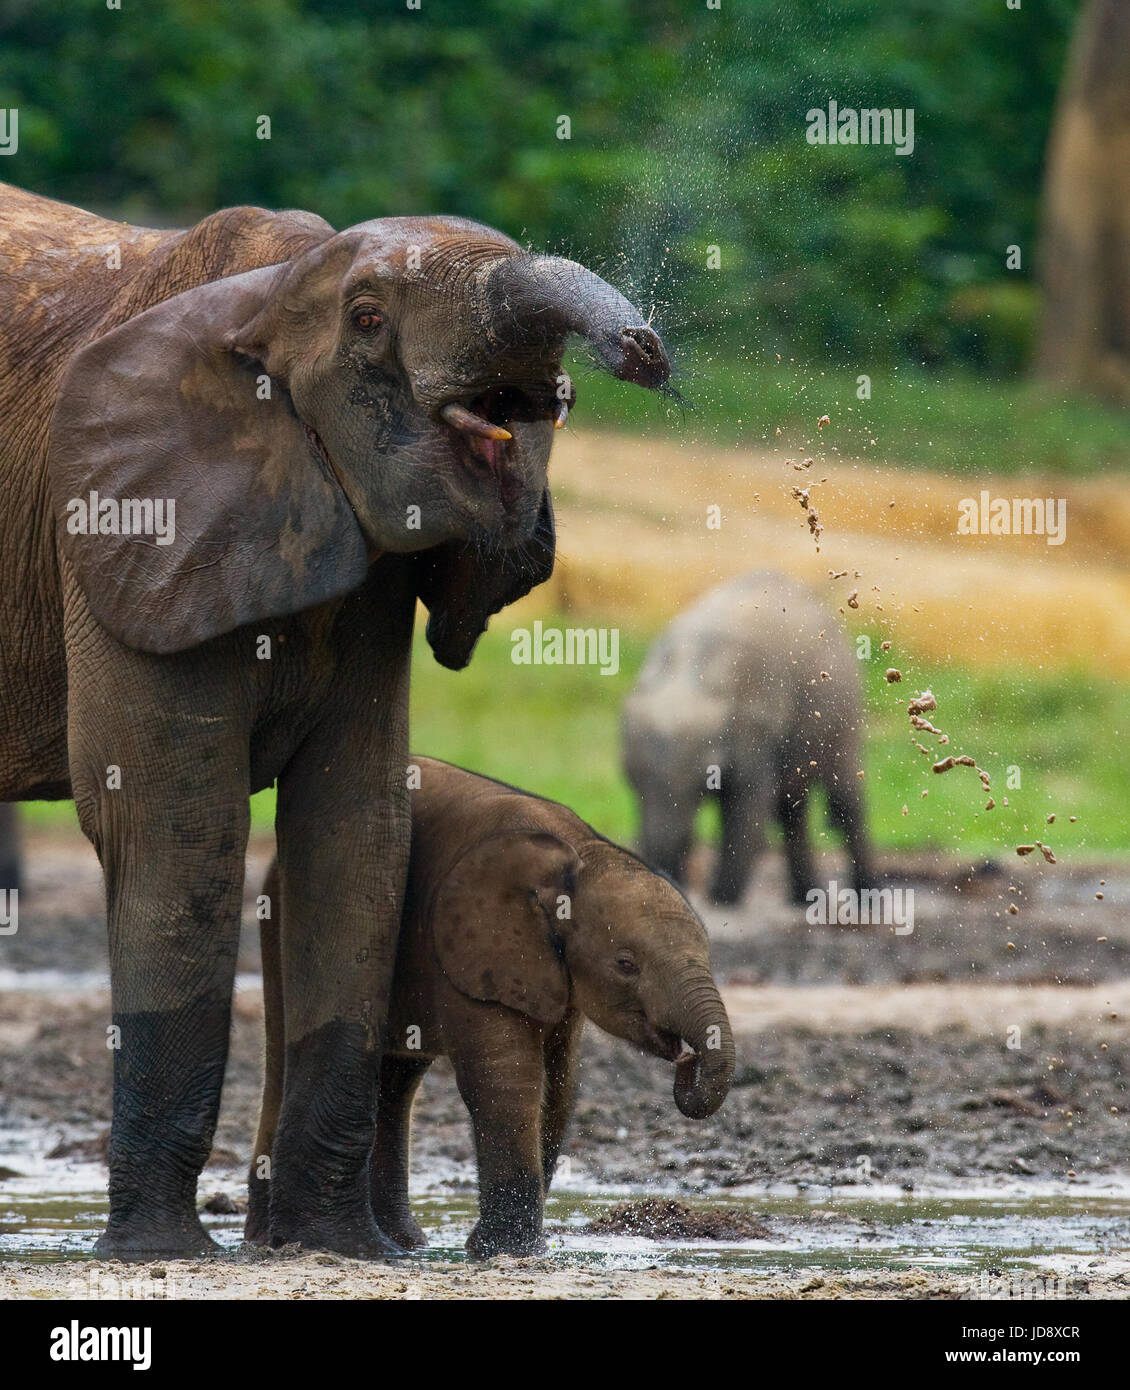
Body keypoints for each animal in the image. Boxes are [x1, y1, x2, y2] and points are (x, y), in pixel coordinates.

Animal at [0, 182, 669, 1262]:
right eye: (366, 320)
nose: (646, 350)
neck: (266, 298)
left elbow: (354, 827)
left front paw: (333, 1247)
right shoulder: (121, 530)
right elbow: (176, 827)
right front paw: (160, 1253)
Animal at [247, 761, 733, 1262]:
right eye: (626, 964)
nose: (687, 1059)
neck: (581, 852)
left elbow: (560, 1084)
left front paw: (507, 1248)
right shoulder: (473, 948)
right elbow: (508, 1076)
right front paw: (509, 1251)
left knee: (398, 1079)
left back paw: (405, 1244)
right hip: (281, 916)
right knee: (284, 1057)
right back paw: (271, 1240)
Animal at [622, 567, 867, 906]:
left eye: (700, 783)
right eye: (630, 781)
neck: (691, 674)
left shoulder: (756, 728)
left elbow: (747, 807)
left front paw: (722, 898)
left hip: (844, 709)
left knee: (844, 799)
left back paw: (867, 894)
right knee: (791, 810)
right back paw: (804, 899)